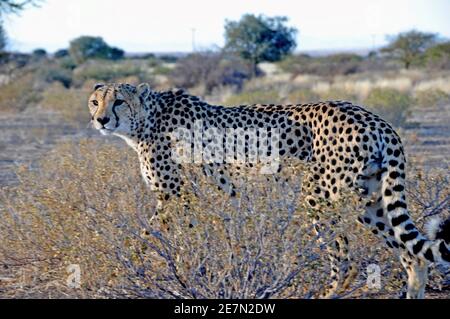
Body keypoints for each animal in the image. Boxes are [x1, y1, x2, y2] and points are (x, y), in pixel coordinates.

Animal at [88, 83, 450, 300]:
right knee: (413, 255)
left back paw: (325, 293)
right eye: (95, 101)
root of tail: (373, 117)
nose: (101, 120)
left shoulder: (174, 197)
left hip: (320, 199)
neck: (146, 120)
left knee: (344, 260)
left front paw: (118, 276)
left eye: (118, 101)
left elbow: (146, 239)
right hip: (370, 201)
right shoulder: (187, 201)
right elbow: (177, 242)